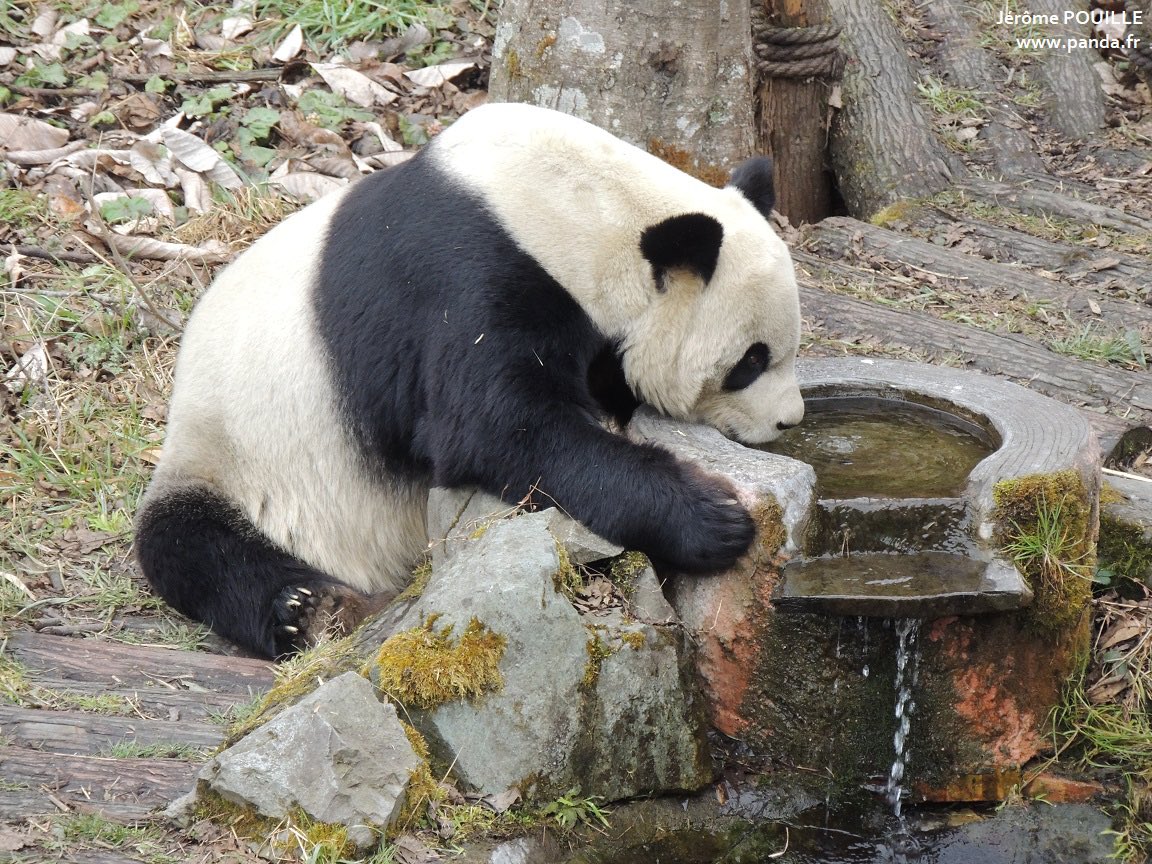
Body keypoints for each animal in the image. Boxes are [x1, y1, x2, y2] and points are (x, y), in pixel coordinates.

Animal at [135, 102, 805, 659]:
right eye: (750, 361)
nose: (789, 420)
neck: (583, 205)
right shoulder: (470, 276)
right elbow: (495, 428)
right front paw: (714, 519)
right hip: (237, 452)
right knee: (191, 546)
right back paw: (308, 609)